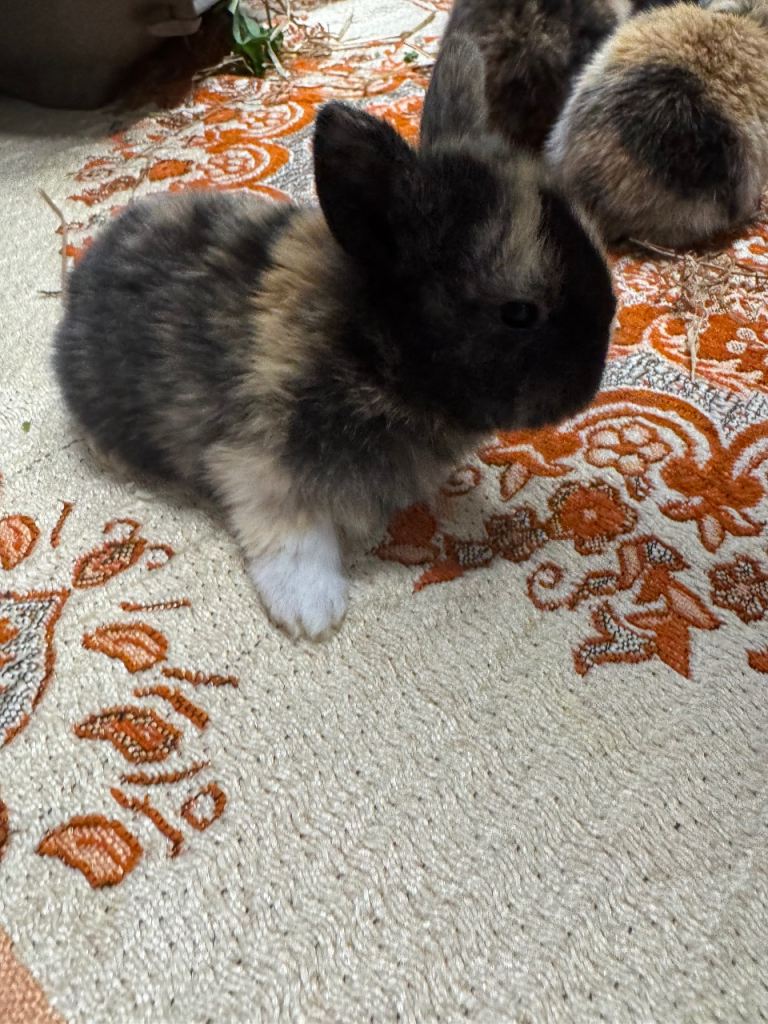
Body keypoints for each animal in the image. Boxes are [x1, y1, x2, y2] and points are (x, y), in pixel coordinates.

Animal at [53, 35, 616, 641]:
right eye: (518, 313)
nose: (591, 384)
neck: (364, 342)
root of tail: (77, 286)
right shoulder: (264, 465)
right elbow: (295, 538)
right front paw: (312, 613)